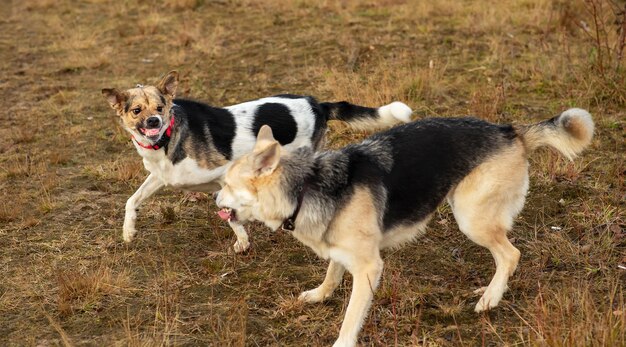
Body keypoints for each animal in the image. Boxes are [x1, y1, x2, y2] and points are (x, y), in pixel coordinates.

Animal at [100, 70, 410, 251]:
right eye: (137, 110)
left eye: (160, 107)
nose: (154, 121)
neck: (167, 137)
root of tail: (317, 105)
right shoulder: (159, 177)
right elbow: (131, 201)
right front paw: (128, 232)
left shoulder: (223, 175)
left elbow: (226, 210)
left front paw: (242, 240)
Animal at [214, 109, 588, 347]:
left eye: (228, 185)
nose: (215, 197)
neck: (306, 186)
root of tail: (510, 130)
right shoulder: (339, 246)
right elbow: (332, 272)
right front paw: (320, 294)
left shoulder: (368, 267)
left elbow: (351, 316)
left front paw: (342, 341)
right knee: (502, 257)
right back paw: (490, 289)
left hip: (470, 218)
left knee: (510, 254)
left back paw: (491, 299)